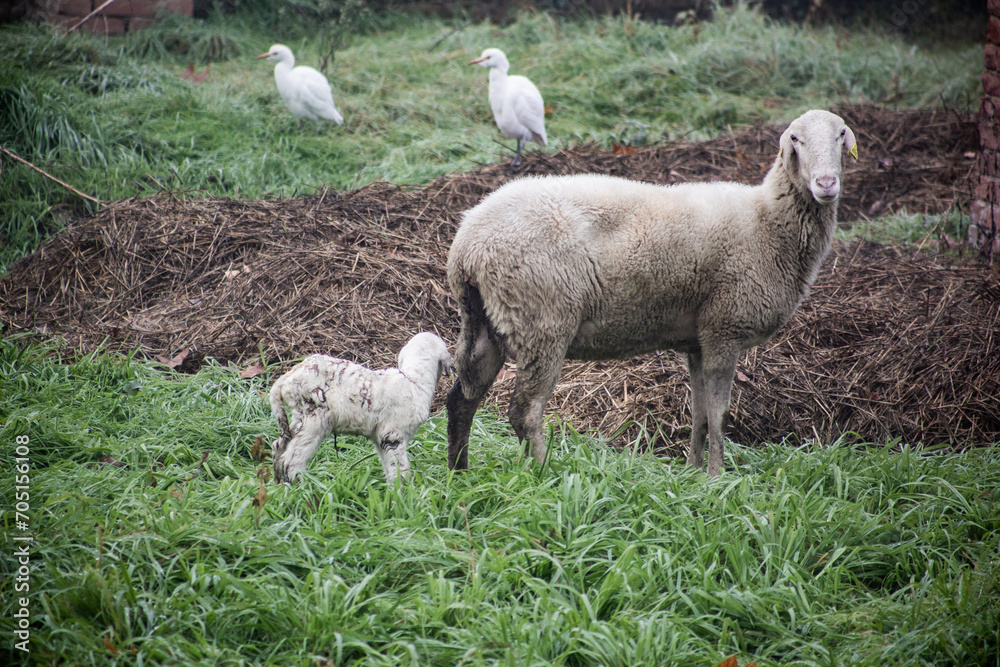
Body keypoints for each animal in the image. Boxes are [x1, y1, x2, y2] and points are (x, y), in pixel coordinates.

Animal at [270, 332, 453, 484]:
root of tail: (286, 379)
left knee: (279, 445)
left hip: (299, 416)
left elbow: (389, 467)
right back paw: (303, 488)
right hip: (313, 415)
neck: (414, 380)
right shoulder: (393, 434)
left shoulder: (380, 438)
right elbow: (400, 468)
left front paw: (392, 493)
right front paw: (405, 493)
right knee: (292, 460)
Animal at [445, 109, 858, 477]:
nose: (825, 184)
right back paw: (543, 473)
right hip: (542, 321)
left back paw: (459, 474)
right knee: (525, 411)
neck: (768, 221)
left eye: (841, 135)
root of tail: (468, 242)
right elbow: (720, 414)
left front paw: (693, 473)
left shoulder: (697, 341)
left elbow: (699, 413)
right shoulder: (724, 329)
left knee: (461, 400)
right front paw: (718, 477)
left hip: (487, 320)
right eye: (795, 139)